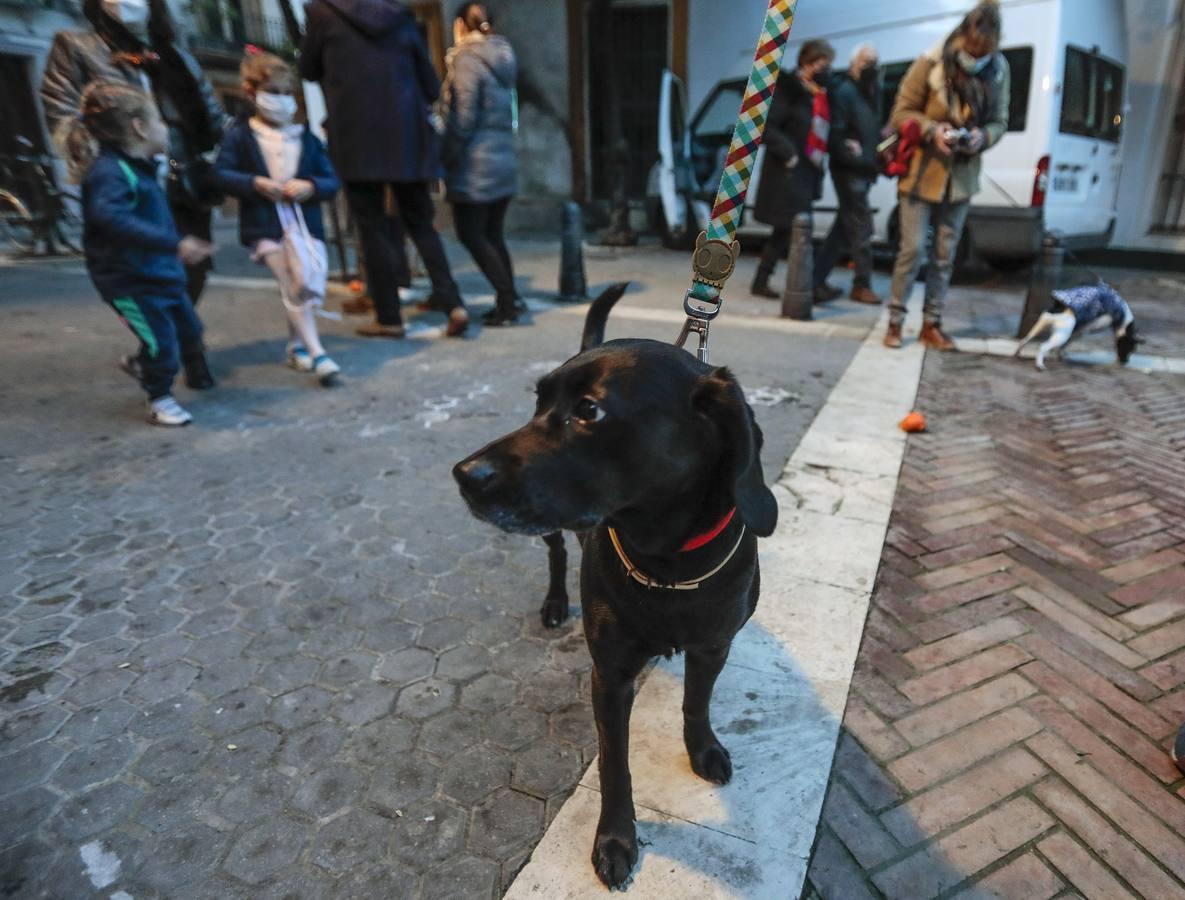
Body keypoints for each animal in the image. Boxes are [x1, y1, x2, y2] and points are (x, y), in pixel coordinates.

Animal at [452, 284, 777, 891]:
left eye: (589, 410)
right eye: (537, 404)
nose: (463, 474)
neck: (667, 563)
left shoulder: (713, 646)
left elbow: (697, 702)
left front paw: (702, 749)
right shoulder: (610, 676)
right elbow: (614, 763)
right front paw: (616, 839)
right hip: (552, 532)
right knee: (557, 553)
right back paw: (556, 603)